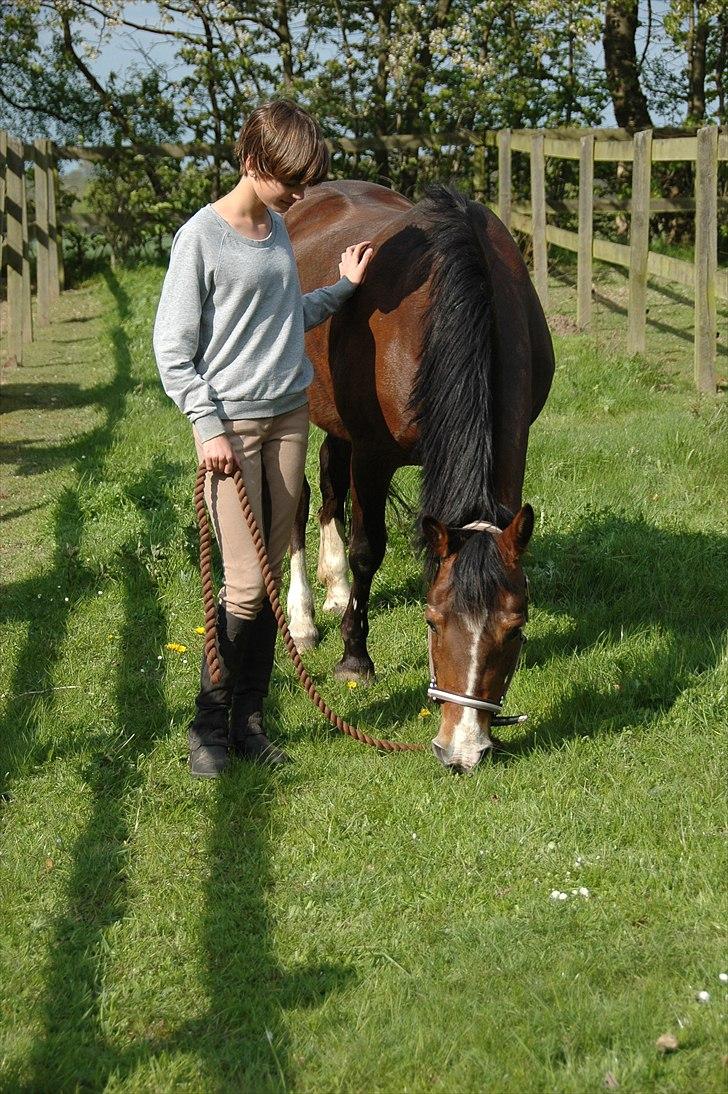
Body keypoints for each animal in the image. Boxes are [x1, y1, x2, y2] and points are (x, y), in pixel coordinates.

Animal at [284, 179, 551, 774]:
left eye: (516, 626)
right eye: (430, 620)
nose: (462, 751)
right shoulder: (373, 455)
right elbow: (368, 549)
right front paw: (354, 658)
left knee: (329, 485)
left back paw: (334, 587)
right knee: (299, 499)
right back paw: (305, 619)